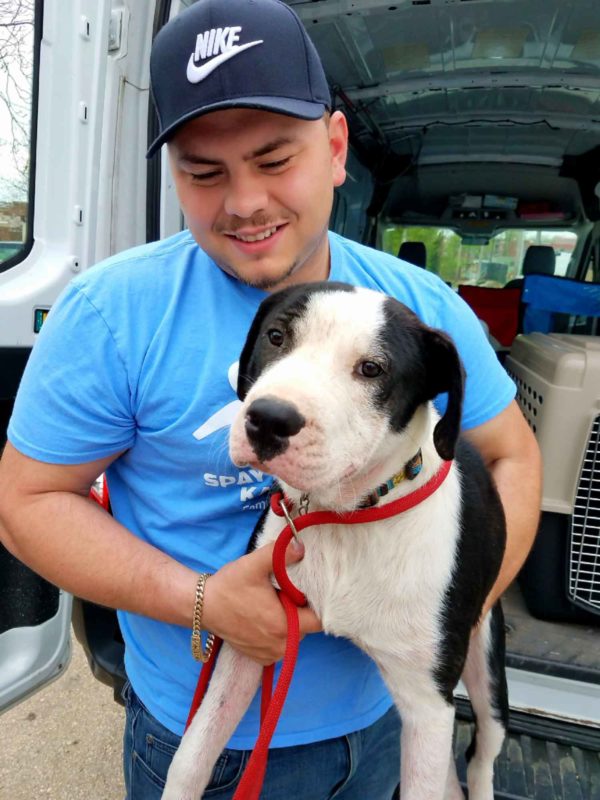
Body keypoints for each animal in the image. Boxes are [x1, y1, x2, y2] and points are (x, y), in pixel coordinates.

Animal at [163, 282, 506, 800]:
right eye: (276, 336)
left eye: (372, 369)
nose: (268, 419)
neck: (344, 519)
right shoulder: (248, 640)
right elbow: (190, 756)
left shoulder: (428, 702)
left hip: (485, 663)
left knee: (483, 752)